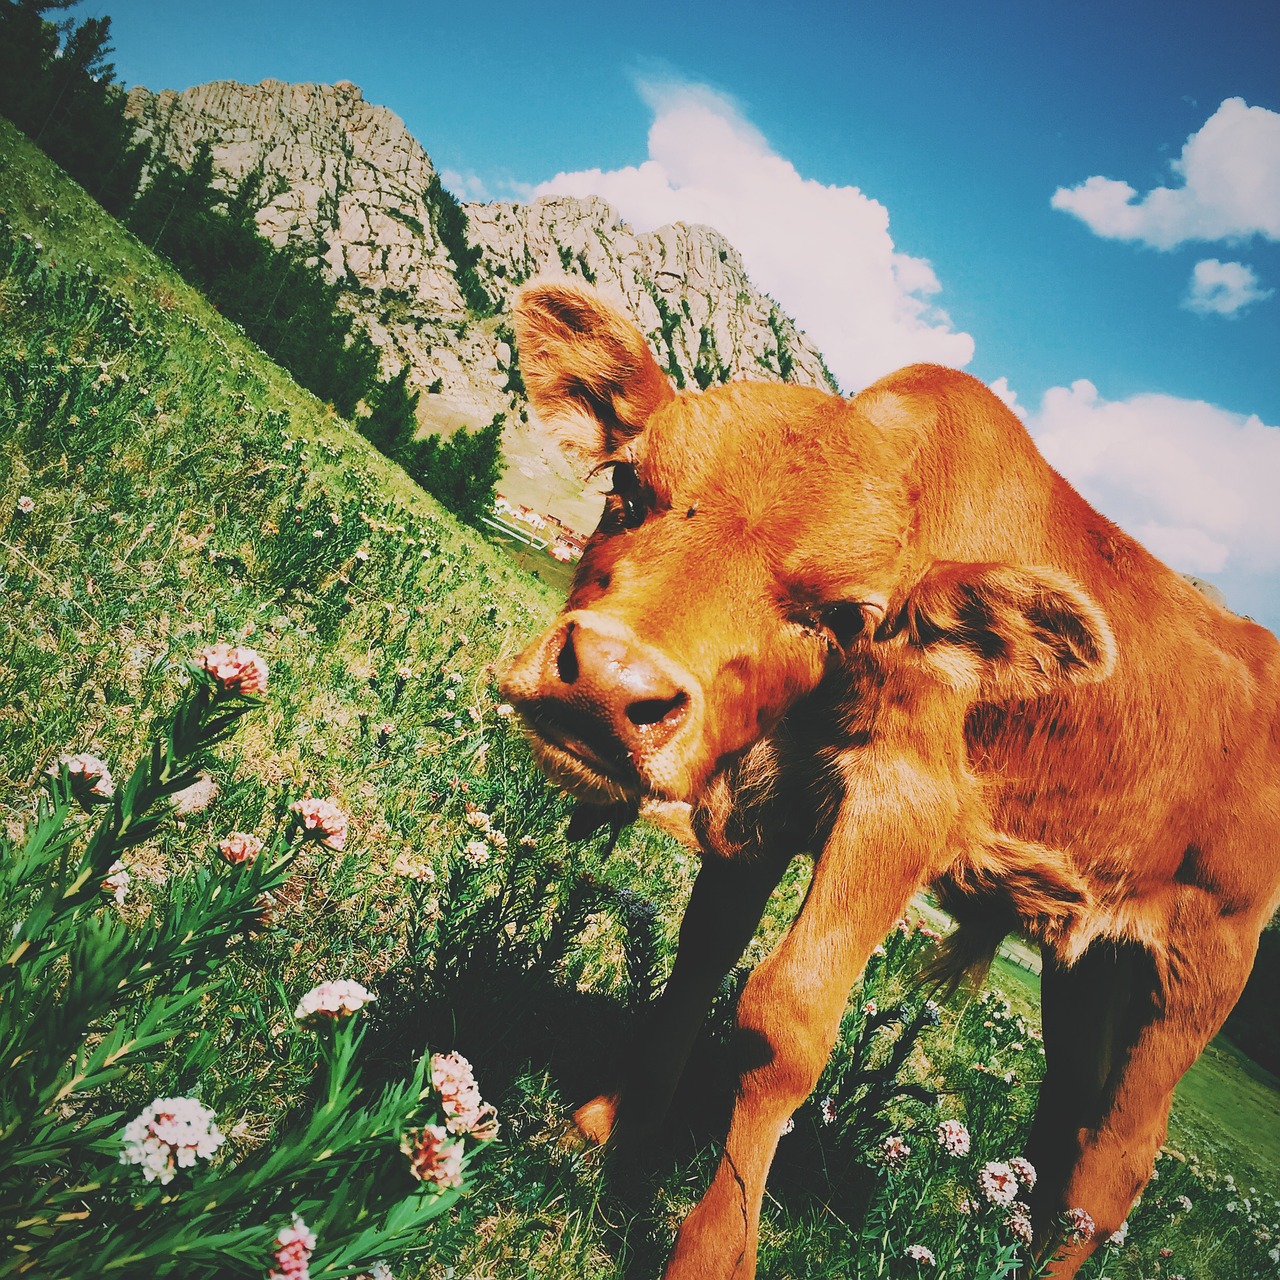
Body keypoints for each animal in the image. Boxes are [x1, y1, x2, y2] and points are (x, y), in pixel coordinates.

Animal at [499, 282, 1280, 1280]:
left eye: (843, 615)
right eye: (626, 489)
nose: (605, 683)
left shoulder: (899, 808)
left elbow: (785, 1019)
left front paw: (712, 1248)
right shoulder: (764, 794)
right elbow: (701, 955)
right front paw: (612, 1128)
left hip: (1203, 960)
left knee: (1118, 1160)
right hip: (1090, 960)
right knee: (1067, 1134)